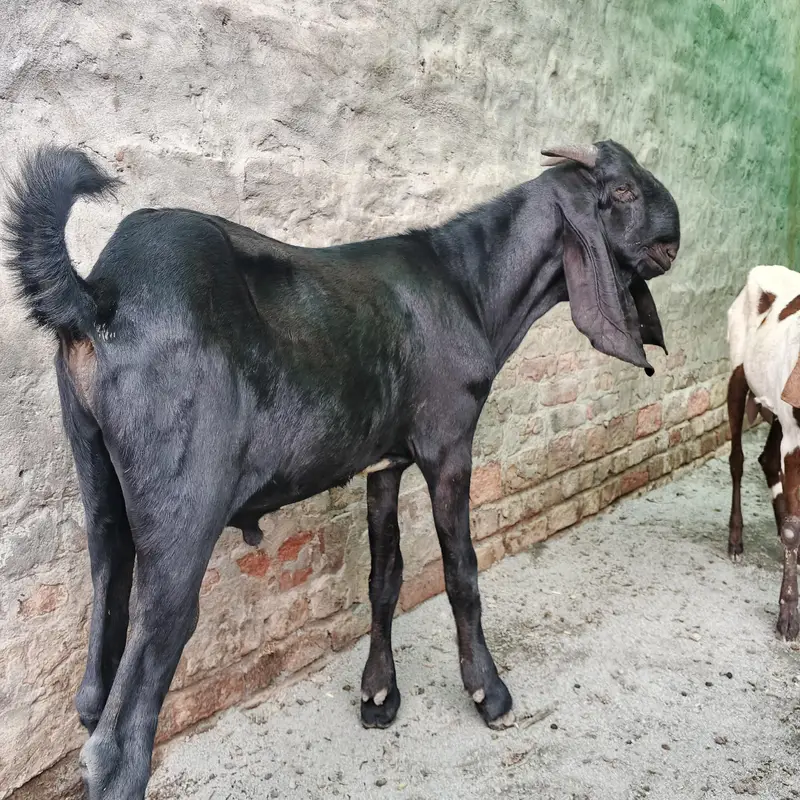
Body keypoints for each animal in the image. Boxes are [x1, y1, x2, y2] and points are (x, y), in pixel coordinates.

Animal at [5, 141, 680, 800]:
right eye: (620, 189)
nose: (675, 234)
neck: (468, 284)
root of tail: (99, 296)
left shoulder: (384, 461)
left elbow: (386, 574)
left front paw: (379, 695)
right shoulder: (447, 441)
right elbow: (460, 569)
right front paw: (489, 694)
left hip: (96, 473)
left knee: (98, 656)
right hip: (182, 506)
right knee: (122, 734)